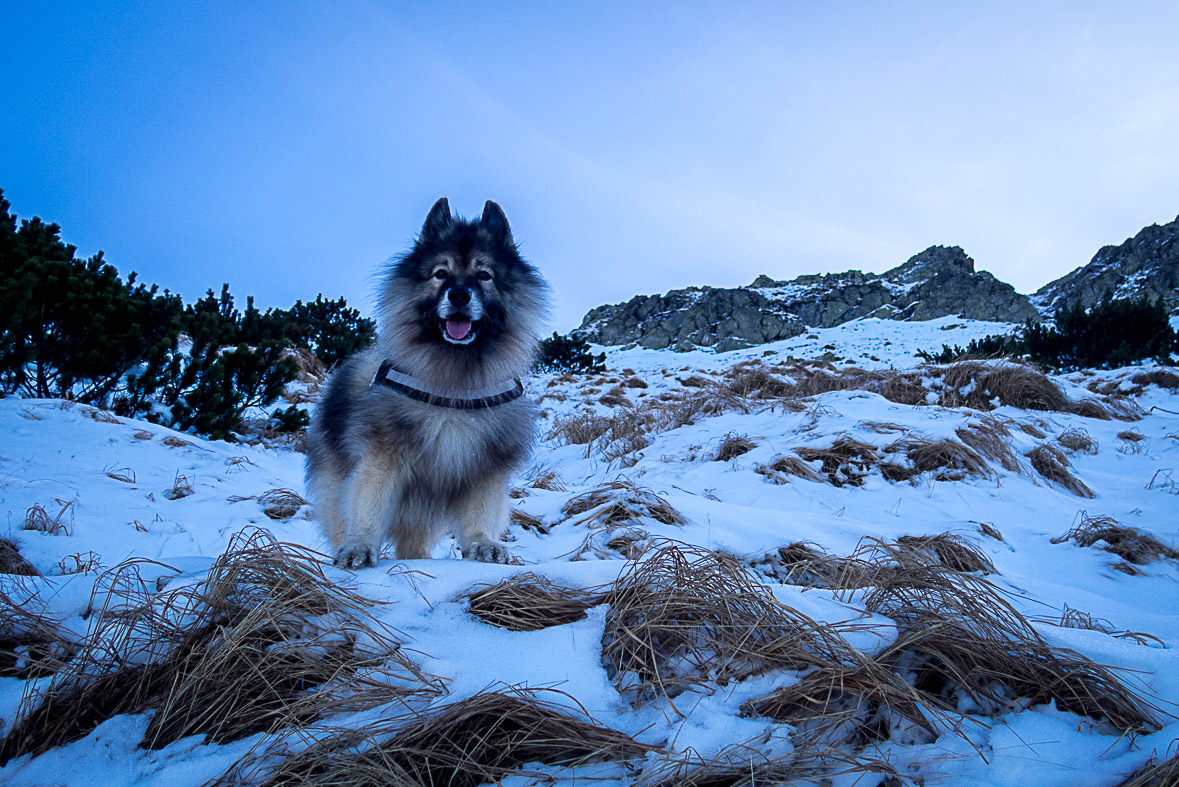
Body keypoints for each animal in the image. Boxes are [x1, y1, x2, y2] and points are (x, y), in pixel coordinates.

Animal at [301, 195, 544, 565]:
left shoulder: (486, 467)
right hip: (336, 485)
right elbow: (368, 507)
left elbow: (481, 511)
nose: (459, 295)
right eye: (440, 274)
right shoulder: (381, 457)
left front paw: (483, 543)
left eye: (484, 275)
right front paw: (360, 545)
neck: (453, 387)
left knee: (412, 544)